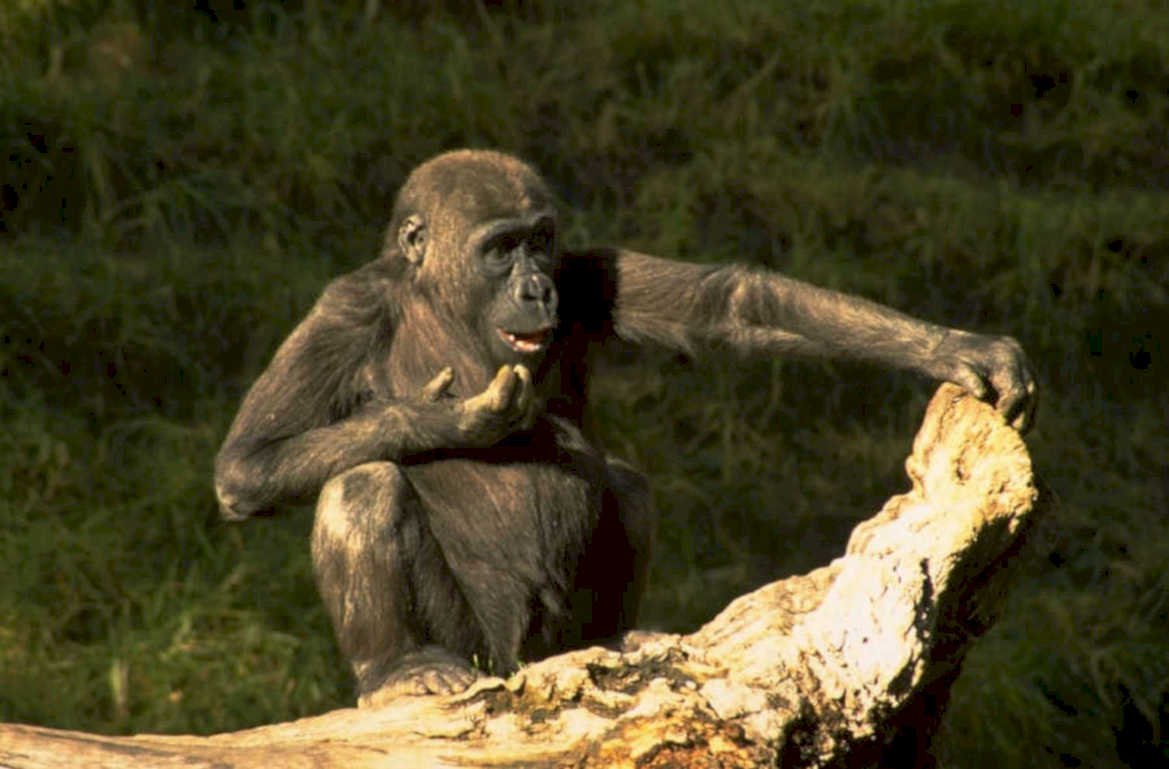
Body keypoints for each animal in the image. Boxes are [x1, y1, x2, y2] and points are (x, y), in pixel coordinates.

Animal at [214, 149, 1036, 704]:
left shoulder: (587, 271)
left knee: (626, 482)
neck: (441, 298)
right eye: (499, 249)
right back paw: (394, 669)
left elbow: (734, 304)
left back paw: (606, 638)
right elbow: (248, 465)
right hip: (479, 652)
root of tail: (522, 662)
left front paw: (951, 347)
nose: (535, 288)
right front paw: (448, 417)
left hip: (554, 641)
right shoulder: (347, 308)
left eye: (539, 241)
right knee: (361, 486)